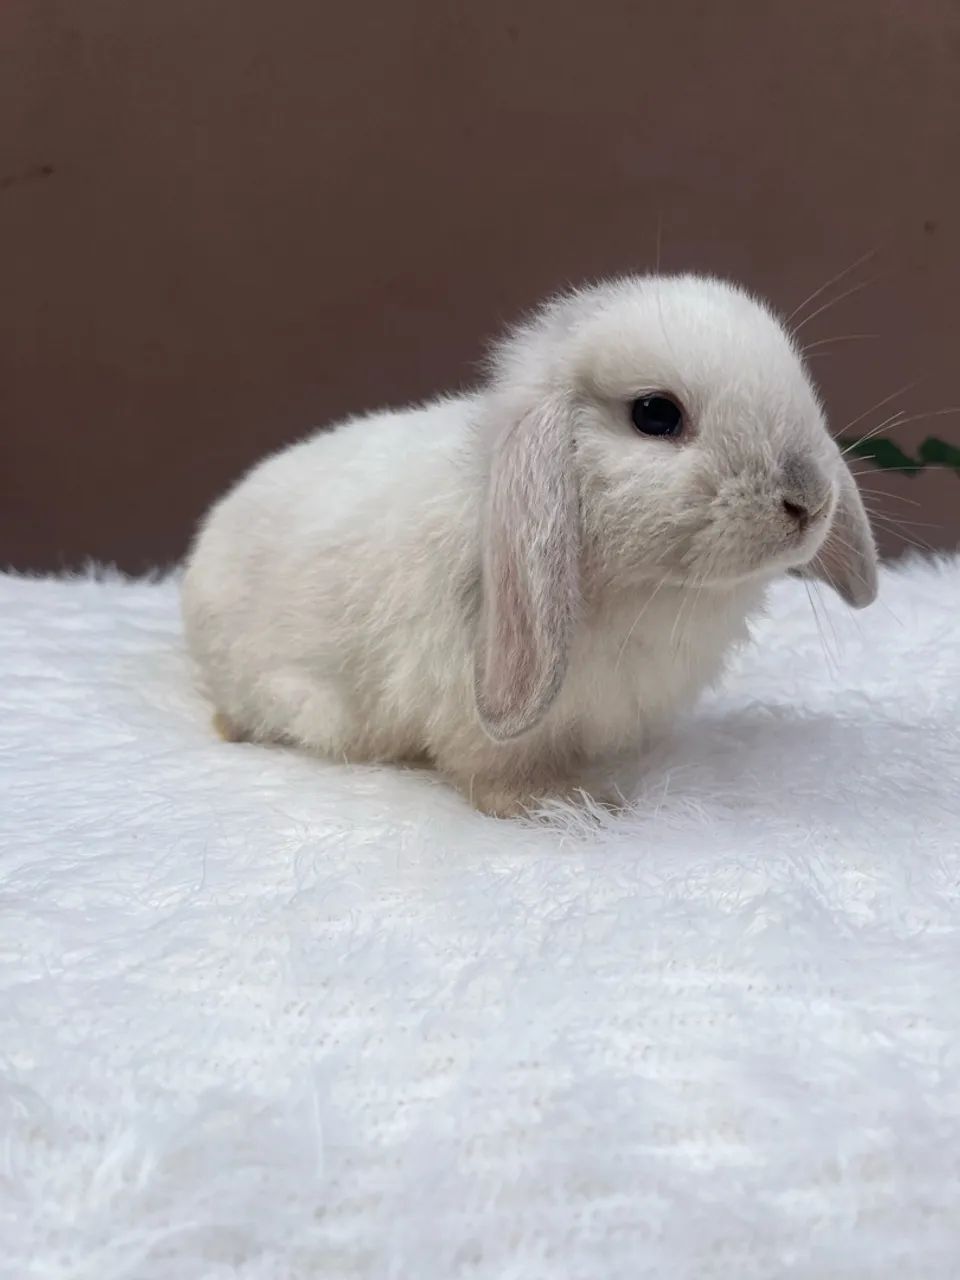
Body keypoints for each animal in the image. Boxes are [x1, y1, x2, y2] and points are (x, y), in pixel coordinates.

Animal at [181, 274, 877, 816]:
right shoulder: (480, 720)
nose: (810, 501)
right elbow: (497, 774)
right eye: (655, 414)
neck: (649, 591)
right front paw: (574, 804)